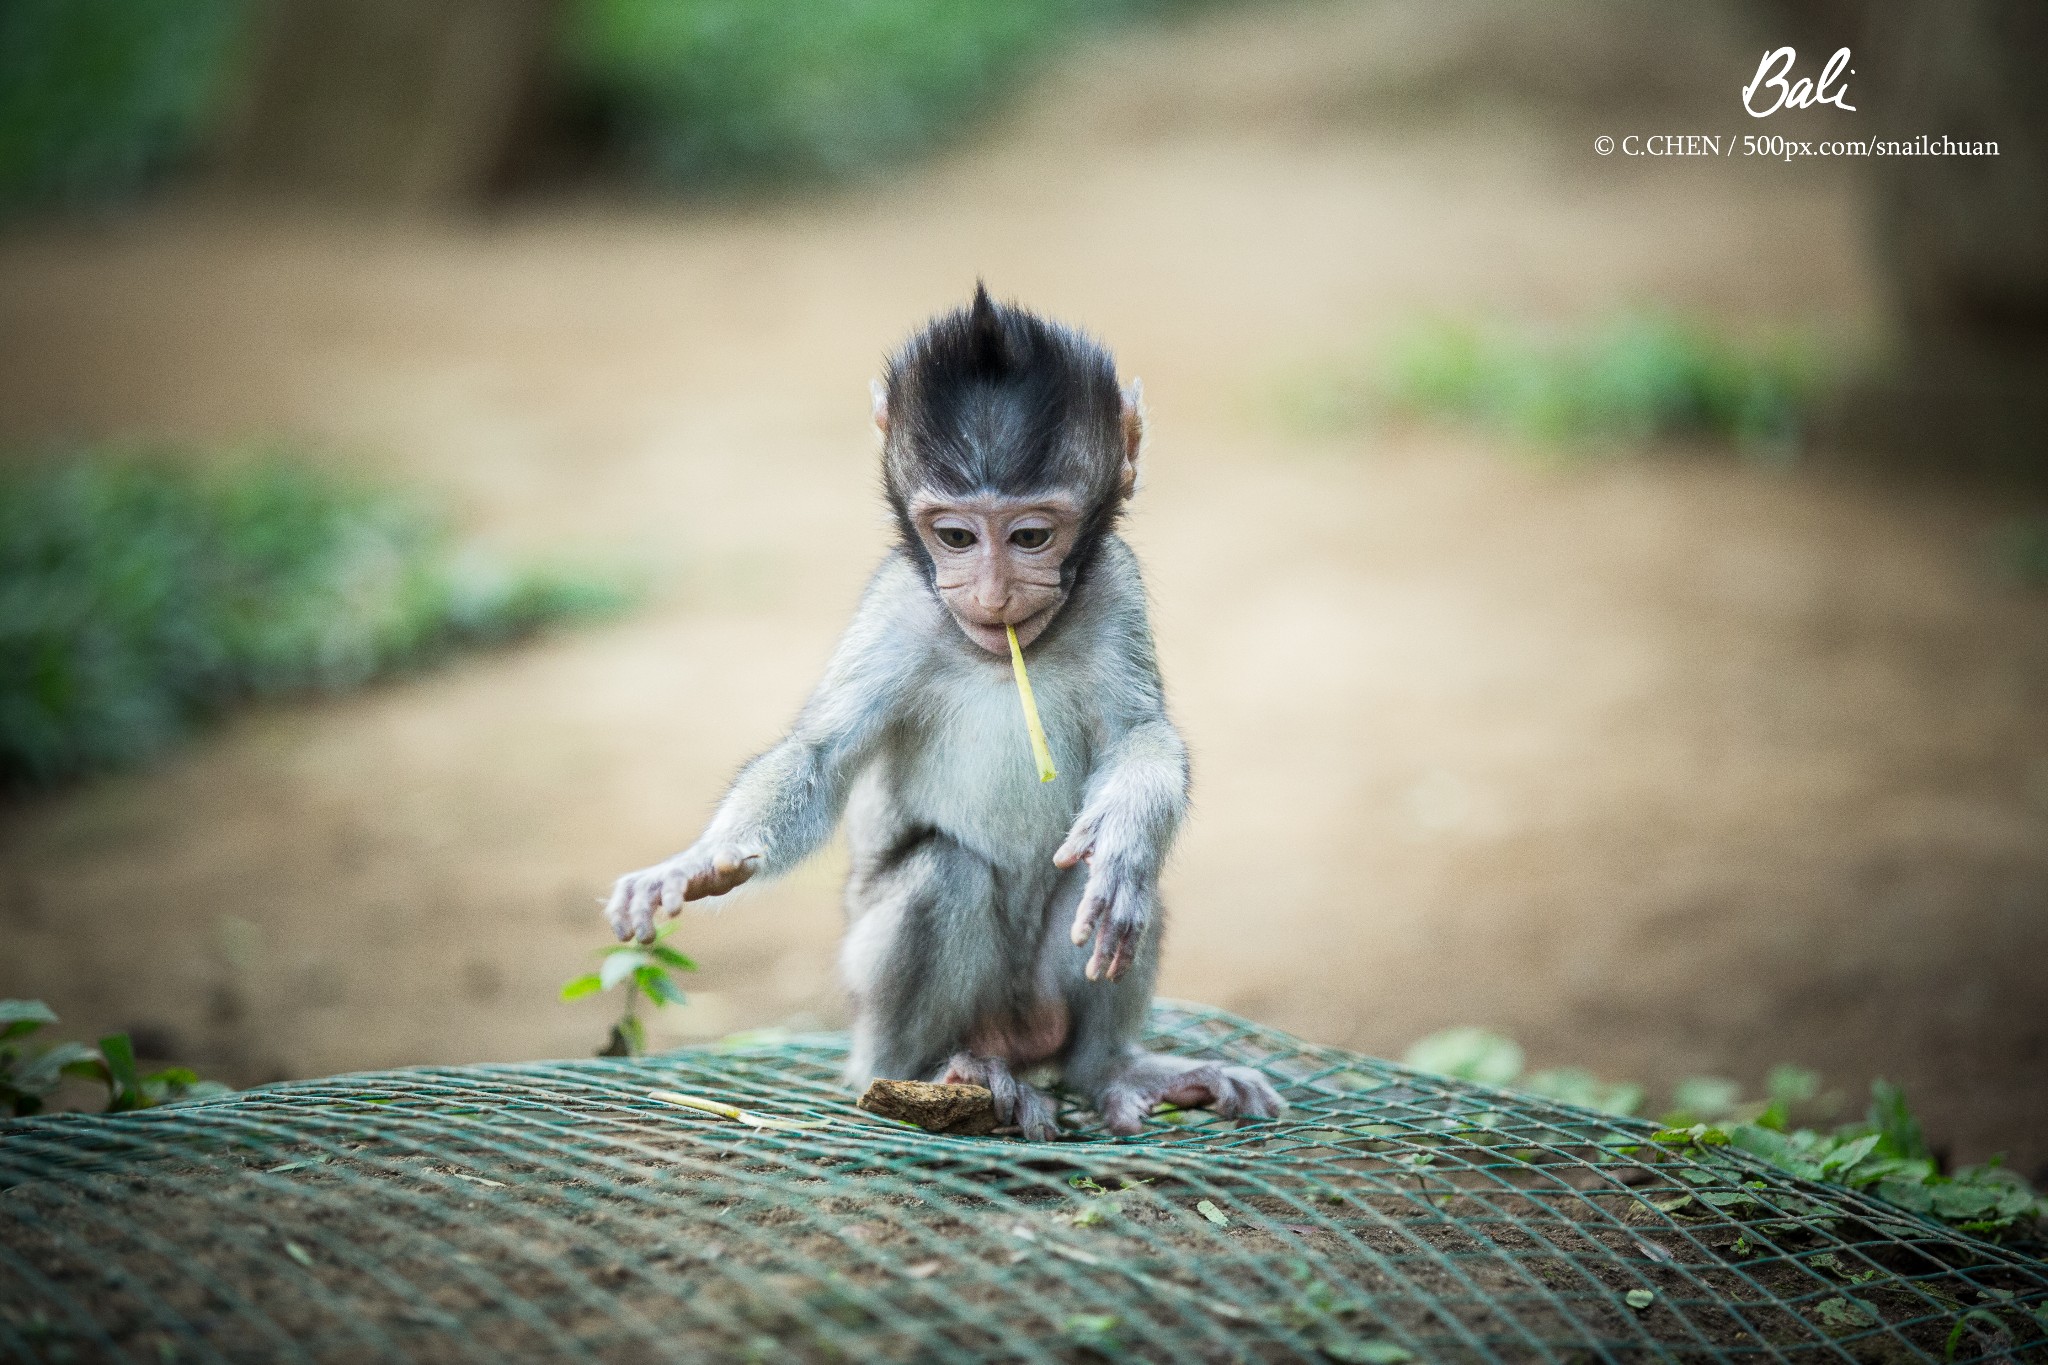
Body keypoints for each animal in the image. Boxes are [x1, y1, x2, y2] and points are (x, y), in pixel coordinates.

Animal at [602, 282, 1277, 1137]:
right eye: (955, 536)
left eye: (1030, 536)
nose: (992, 594)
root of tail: (1016, 1035)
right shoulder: (898, 606)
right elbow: (819, 756)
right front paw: (699, 863)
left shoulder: (1115, 583)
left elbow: (1139, 740)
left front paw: (1125, 829)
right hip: (877, 997)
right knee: (941, 873)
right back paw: (932, 1071)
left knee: (1102, 890)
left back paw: (1111, 1067)